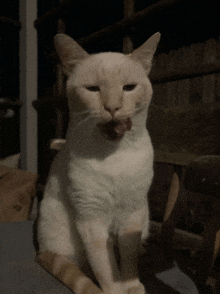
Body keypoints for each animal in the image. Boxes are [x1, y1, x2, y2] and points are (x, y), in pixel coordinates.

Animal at [35, 31, 160, 294]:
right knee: (82, 265)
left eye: (129, 88)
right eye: (93, 89)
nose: (112, 107)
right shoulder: (91, 217)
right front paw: (115, 290)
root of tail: (42, 251)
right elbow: (105, 266)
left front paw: (132, 286)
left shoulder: (133, 212)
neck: (113, 155)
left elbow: (128, 259)